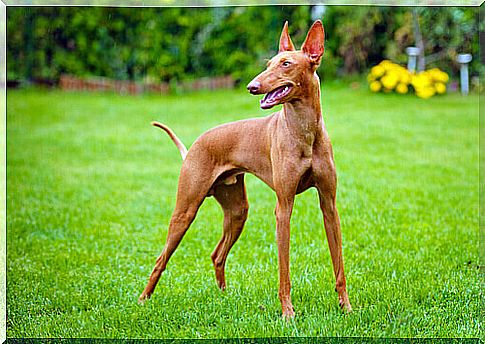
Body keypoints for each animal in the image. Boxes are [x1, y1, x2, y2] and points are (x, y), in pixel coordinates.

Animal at [140, 20, 352, 318]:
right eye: (269, 63)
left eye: (286, 63)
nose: (252, 86)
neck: (304, 132)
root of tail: (193, 146)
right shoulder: (283, 208)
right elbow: (284, 272)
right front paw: (288, 313)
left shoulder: (329, 206)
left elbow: (339, 265)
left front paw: (347, 307)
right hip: (185, 211)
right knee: (161, 258)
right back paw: (143, 299)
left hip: (237, 211)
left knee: (217, 254)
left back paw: (223, 296)